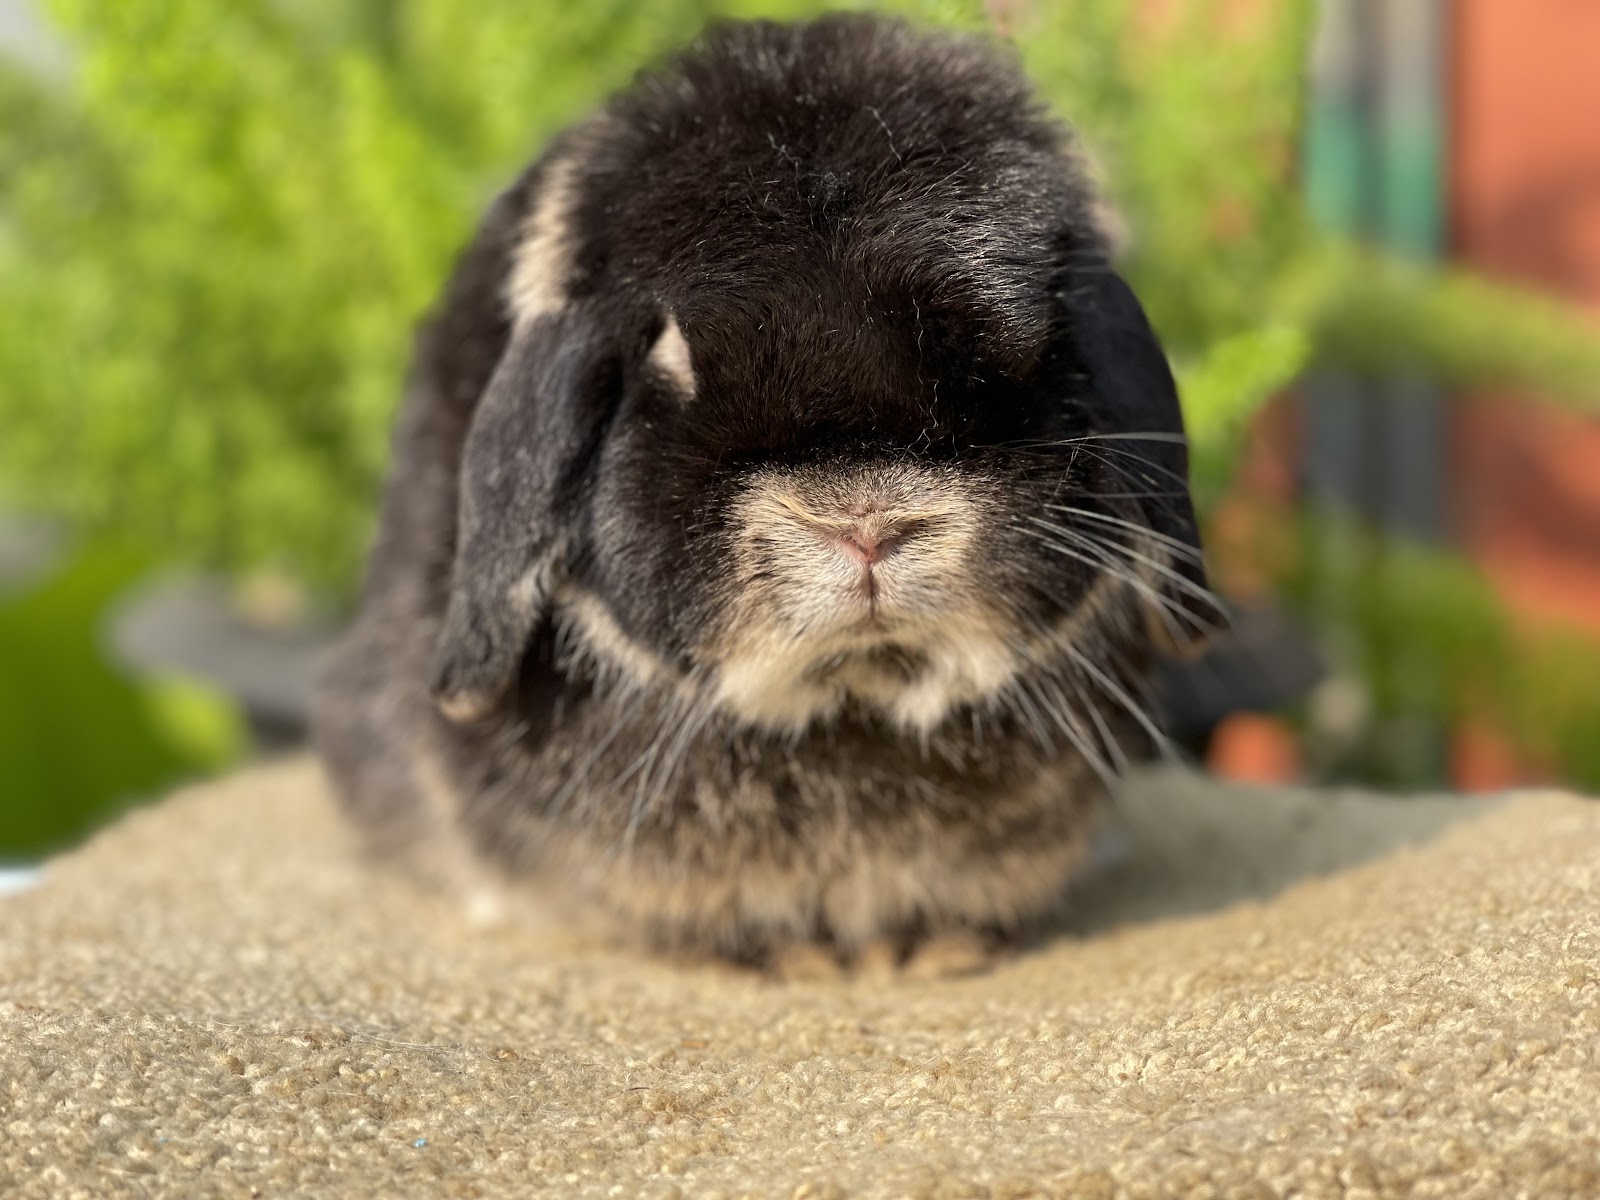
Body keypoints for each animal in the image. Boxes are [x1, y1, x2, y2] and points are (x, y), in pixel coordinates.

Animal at [312, 12, 1221, 975]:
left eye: (1028, 349)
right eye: (667, 360)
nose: (866, 525)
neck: (854, 703)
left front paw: (930, 953)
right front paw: (801, 961)